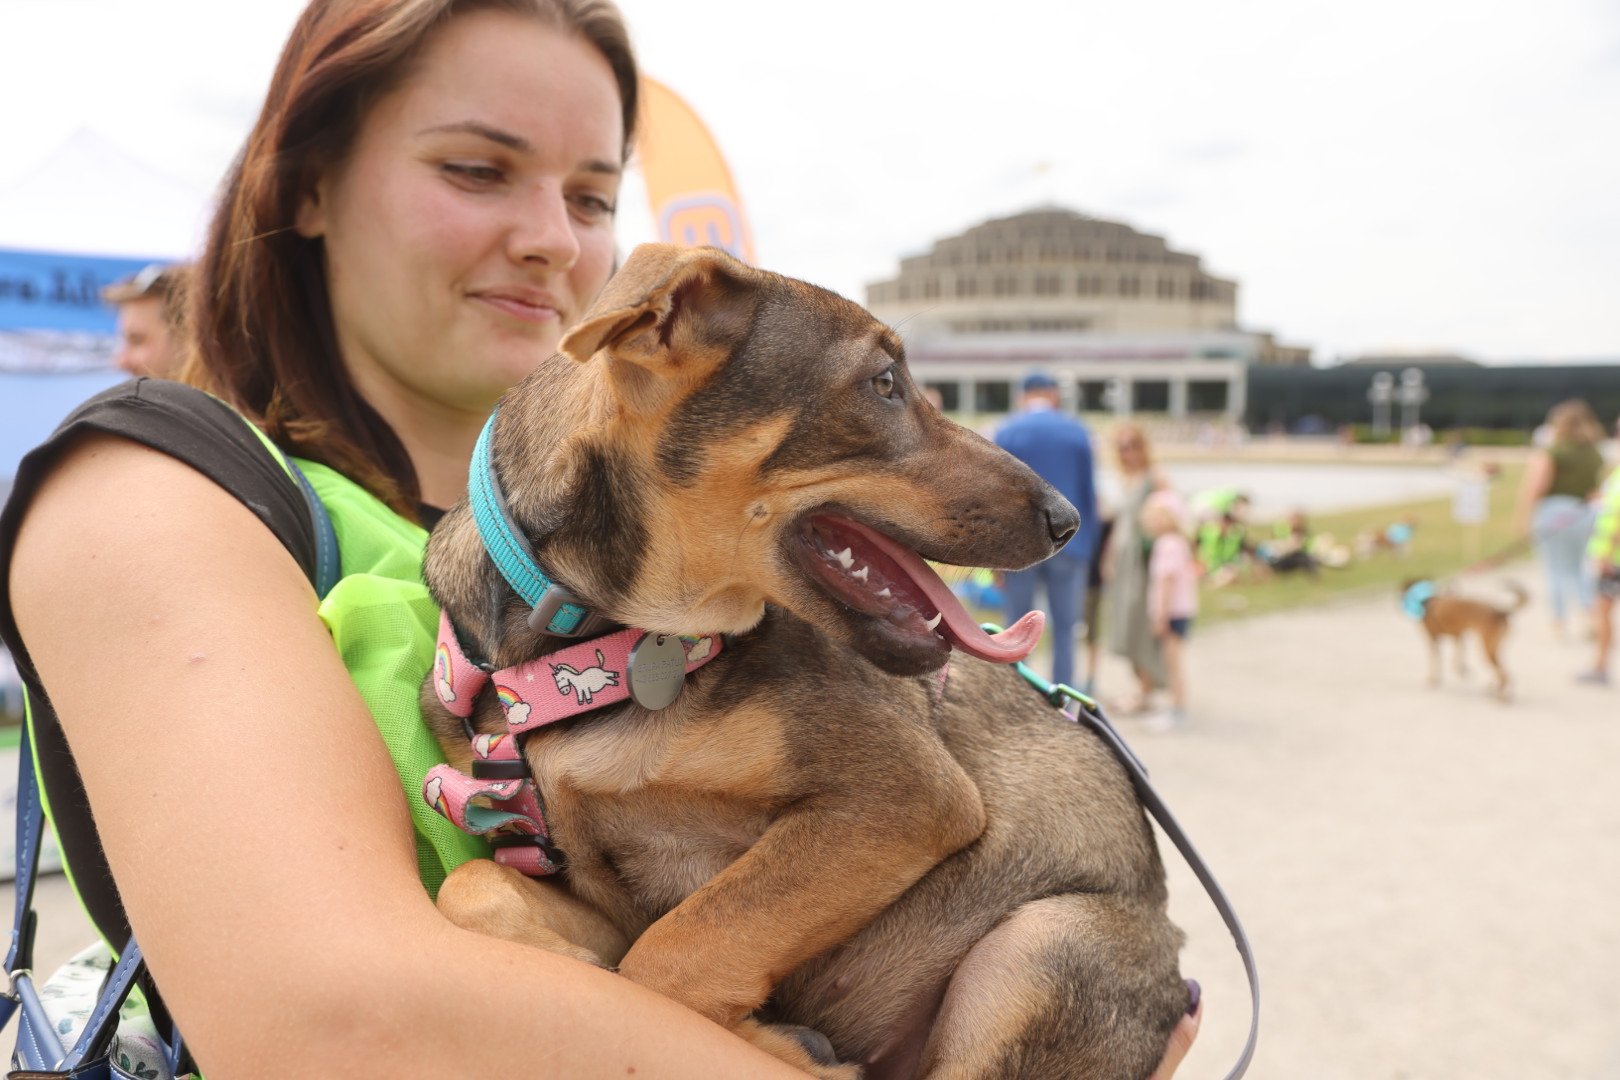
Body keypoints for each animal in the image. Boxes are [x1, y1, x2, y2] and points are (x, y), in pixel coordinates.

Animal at [421, 244, 1188, 1080]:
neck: (614, 647)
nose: (1069, 519)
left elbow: (671, 957)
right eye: (883, 383)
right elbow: (474, 887)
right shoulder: (596, 885)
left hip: (1041, 945)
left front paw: (783, 1047)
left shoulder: (904, 795)